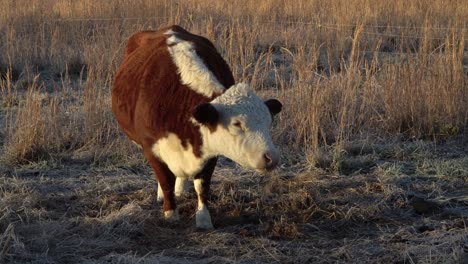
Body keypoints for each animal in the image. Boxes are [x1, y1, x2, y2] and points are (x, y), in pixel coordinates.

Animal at [111, 25, 284, 230]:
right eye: (237, 124)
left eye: (268, 121)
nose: (271, 157)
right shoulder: (150, 147)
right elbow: (165, 180)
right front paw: (170, 214)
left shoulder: (209, 151)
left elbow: (202, 185)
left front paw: (203, 219)